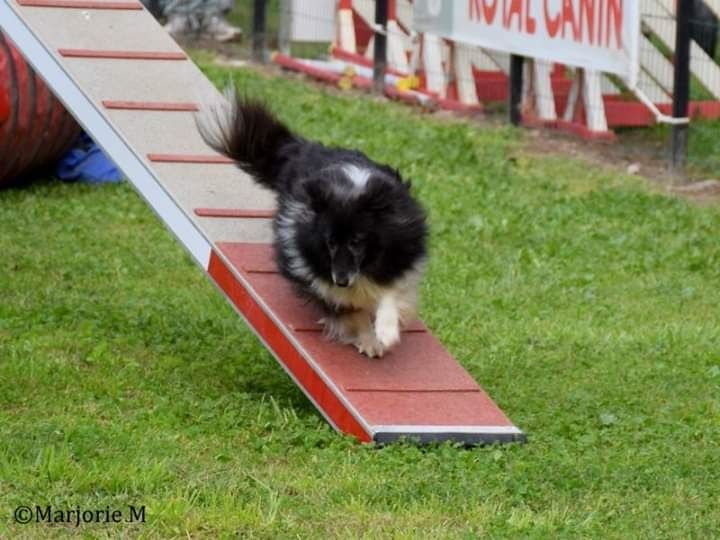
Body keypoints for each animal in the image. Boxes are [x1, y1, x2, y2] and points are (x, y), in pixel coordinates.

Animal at [198, 94, 428, 356]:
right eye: (329, 243)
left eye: (357, 241)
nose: (341, 281)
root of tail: (300, 149)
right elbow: (351, 311)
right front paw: (369, 340)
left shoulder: (400, 255)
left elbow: (391, 293)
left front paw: (386, 333)